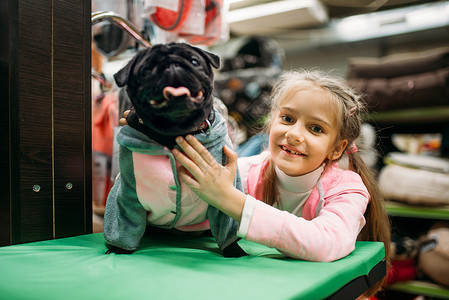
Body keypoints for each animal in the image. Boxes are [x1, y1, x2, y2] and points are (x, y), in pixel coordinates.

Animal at [103, 42, 247, 258]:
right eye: (146, 71)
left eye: (194, 61)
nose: (172, 65)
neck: (173, 134)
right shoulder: (128, 195)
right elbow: (124, 223)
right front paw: (118, 249)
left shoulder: (224, 195)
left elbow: (227, 226)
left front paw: (235, 251)